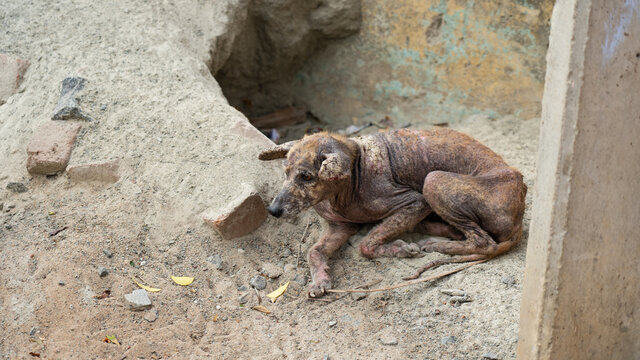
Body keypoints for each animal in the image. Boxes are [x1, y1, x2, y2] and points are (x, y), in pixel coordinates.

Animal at [258, 128, 528, 296]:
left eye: (306, 177)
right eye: (285, 172)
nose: (272, 210)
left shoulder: (415, 203)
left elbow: (366, 245)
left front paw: (400, 249)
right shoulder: (341, 225)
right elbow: (313, 251)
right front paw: (320, 280)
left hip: (433, 181)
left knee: (483, 242)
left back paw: (435, 244)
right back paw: (443, 231)